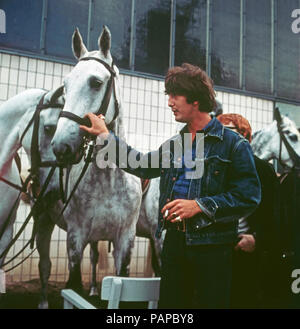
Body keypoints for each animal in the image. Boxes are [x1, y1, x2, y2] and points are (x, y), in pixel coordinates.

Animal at [50, 25, 144, 292]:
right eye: (65, 85)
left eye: (96, 82)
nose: (61, 146)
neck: (109, 180)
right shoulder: (75, 238)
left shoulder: (125, 241)